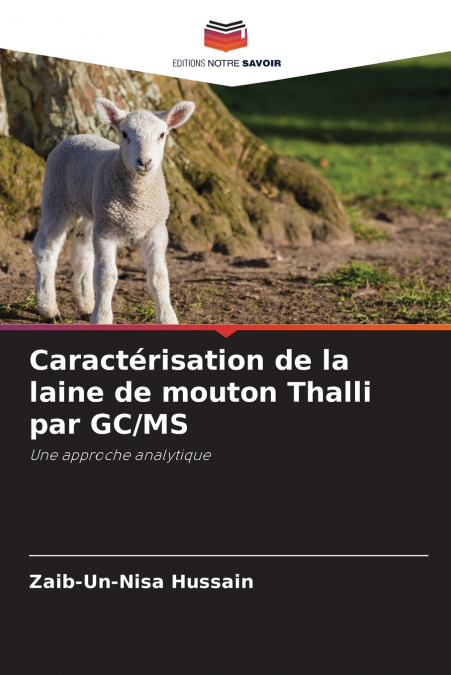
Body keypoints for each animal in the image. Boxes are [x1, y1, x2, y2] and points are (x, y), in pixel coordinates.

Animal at [33, 97, 195, 324]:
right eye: (125, 134)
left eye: (162, 134)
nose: (145, 162)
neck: (137, 205)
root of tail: (76, 136)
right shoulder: (107, 232)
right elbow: (106, 276)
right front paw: (102, 318)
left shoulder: (156, 229)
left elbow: (159, 276)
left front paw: (167, 318)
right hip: (57, 196)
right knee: (46, 247)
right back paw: (48, 309)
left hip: (94, 210)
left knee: (82, 251)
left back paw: (85, 305)